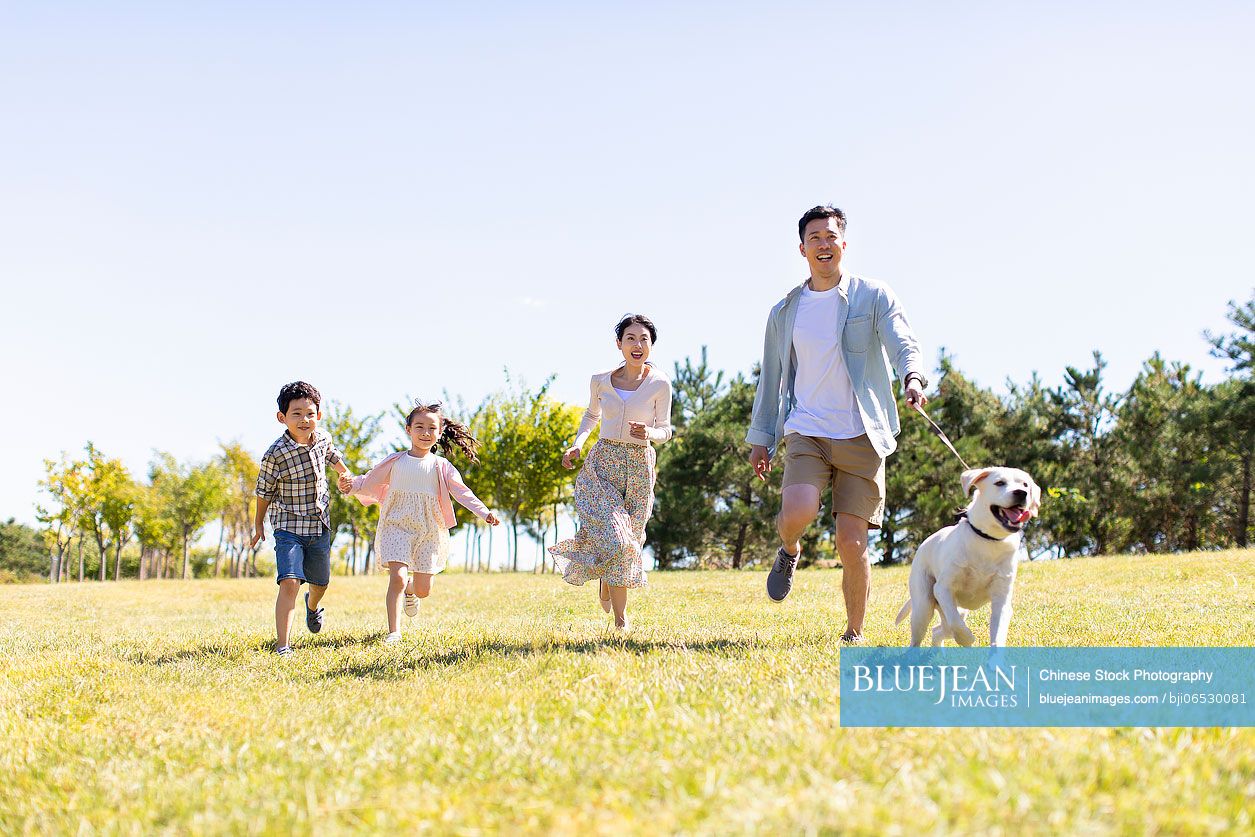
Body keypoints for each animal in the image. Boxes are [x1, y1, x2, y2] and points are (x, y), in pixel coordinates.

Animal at [898, 469, 1044, 652]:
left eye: (1025, 484)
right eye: (999, 483)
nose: (1021, 493)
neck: (988, 540)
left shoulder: (1001, 599)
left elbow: (997, 636)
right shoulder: (943, 589)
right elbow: (957, 624)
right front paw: (967, 639)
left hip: (957, 611)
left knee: (938, 630)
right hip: (924, 606)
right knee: (921, 636)